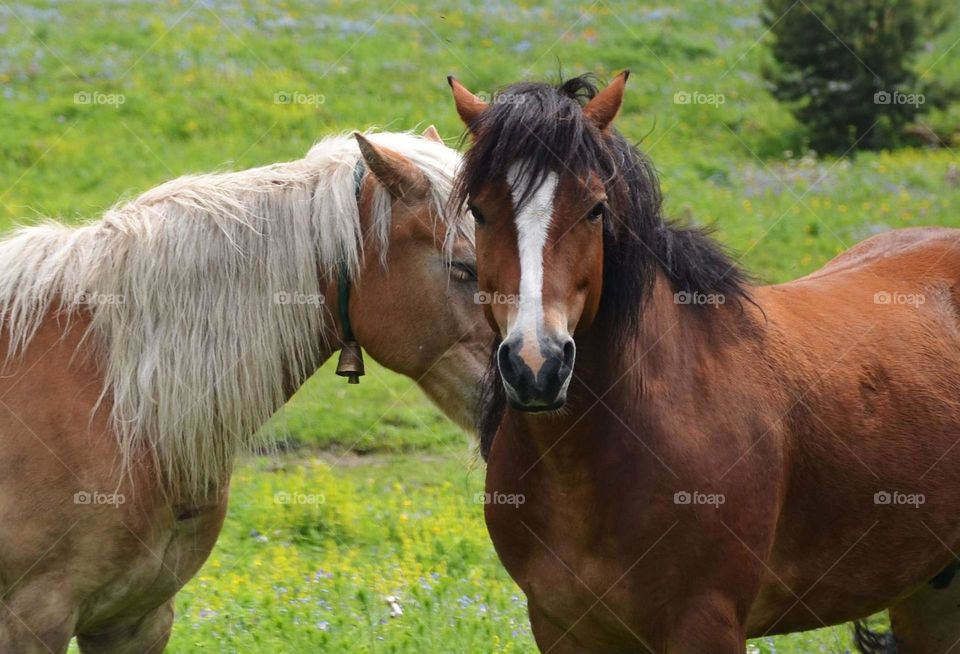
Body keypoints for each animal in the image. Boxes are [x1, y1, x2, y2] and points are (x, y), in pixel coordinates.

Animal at [452, 73, 960, 654]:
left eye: (596, 209)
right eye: (480, 211)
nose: (537, 364)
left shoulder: (705, 623)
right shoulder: (561, 629)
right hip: (930, 599)